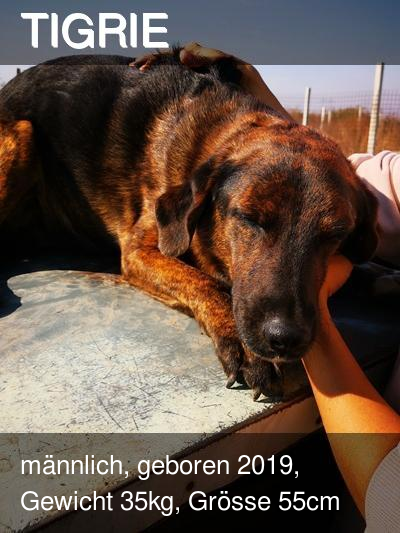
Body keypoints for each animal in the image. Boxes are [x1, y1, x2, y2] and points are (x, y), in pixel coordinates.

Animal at [0, 50, 378, 399]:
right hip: (22, 134)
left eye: (335, 234)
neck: (215, 131)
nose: (284, 338)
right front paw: (240, 342)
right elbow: (203, 282)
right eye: (249, 218)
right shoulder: (141, 251)